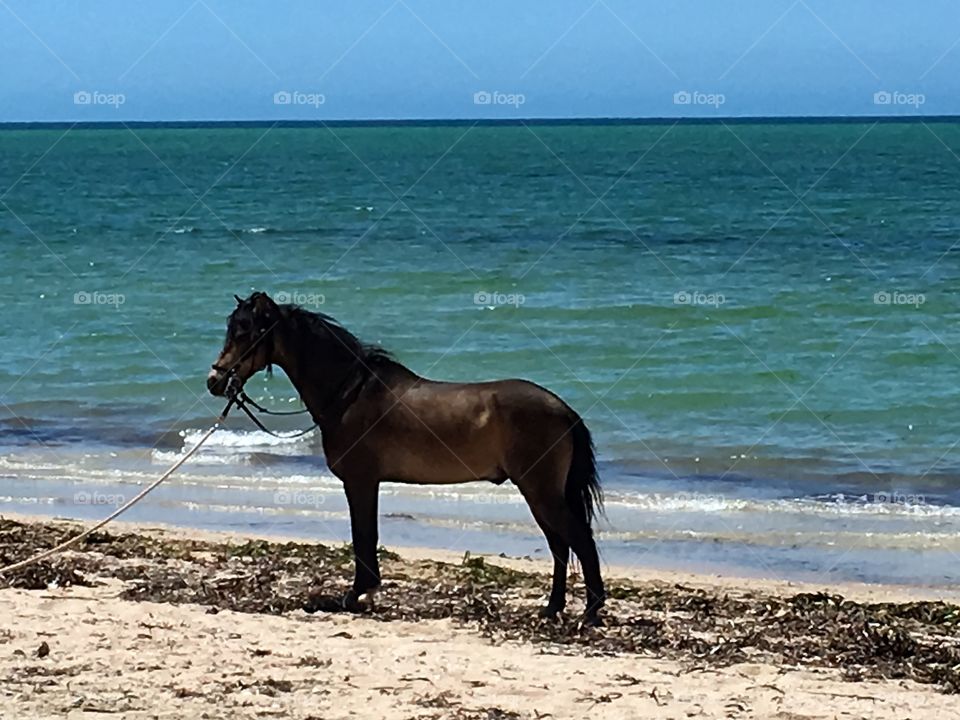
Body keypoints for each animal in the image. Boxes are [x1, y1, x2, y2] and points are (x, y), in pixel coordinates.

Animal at [206, 292, 604, 624]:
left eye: (245, 332)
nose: (214, 380)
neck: (350, 394)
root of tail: (565, 410)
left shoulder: (361, 482)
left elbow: (363, 536)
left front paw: (357, 594)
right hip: (540, 494)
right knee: (560, 546)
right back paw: (552, 608)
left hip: (541, 492)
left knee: (578, 541)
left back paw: (589, 611)